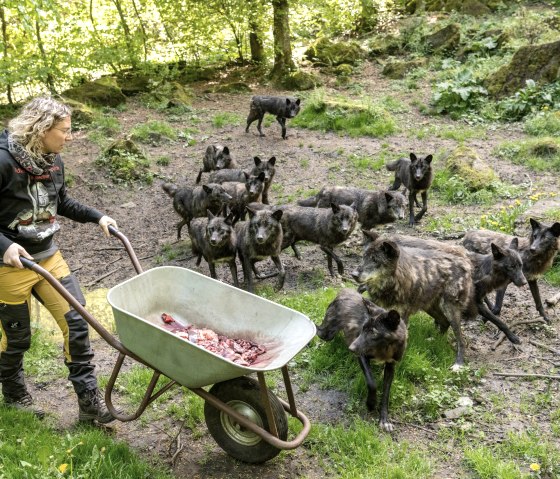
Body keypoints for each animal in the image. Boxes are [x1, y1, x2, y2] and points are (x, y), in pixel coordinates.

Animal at [316, 288, 406, 436]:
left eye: (373, 333)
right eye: (363, 329)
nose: (351, 348)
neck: (384, 349)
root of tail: (345, 290)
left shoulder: (391, 366)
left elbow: (386, 394)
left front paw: (384, 420)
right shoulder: (362, 356)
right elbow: (372, 383)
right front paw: (371, 404)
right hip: (327, 334)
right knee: (316, 328)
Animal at [352, 231, 474, 370]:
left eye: (375, 260)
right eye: (364, 256)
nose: (353, 274)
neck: (390, 285)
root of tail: (465, 261)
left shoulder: (401, 318)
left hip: (450, 309)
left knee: (461, 339)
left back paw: (458, 364)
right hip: (430, 307)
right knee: (444, 323)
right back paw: (434, 340)